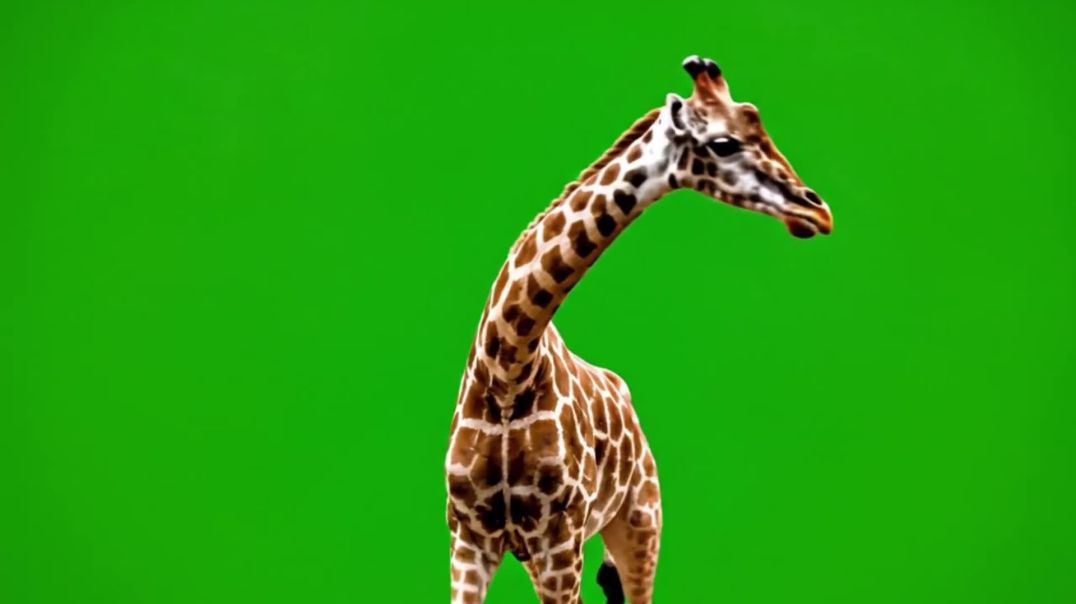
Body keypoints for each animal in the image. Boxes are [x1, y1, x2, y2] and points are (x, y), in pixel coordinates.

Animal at [445, 56, 833, 604]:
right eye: (724, 142)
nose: (815, 209)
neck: (508, 368)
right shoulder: (469, 538)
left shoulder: (558, 539)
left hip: (641, 520)